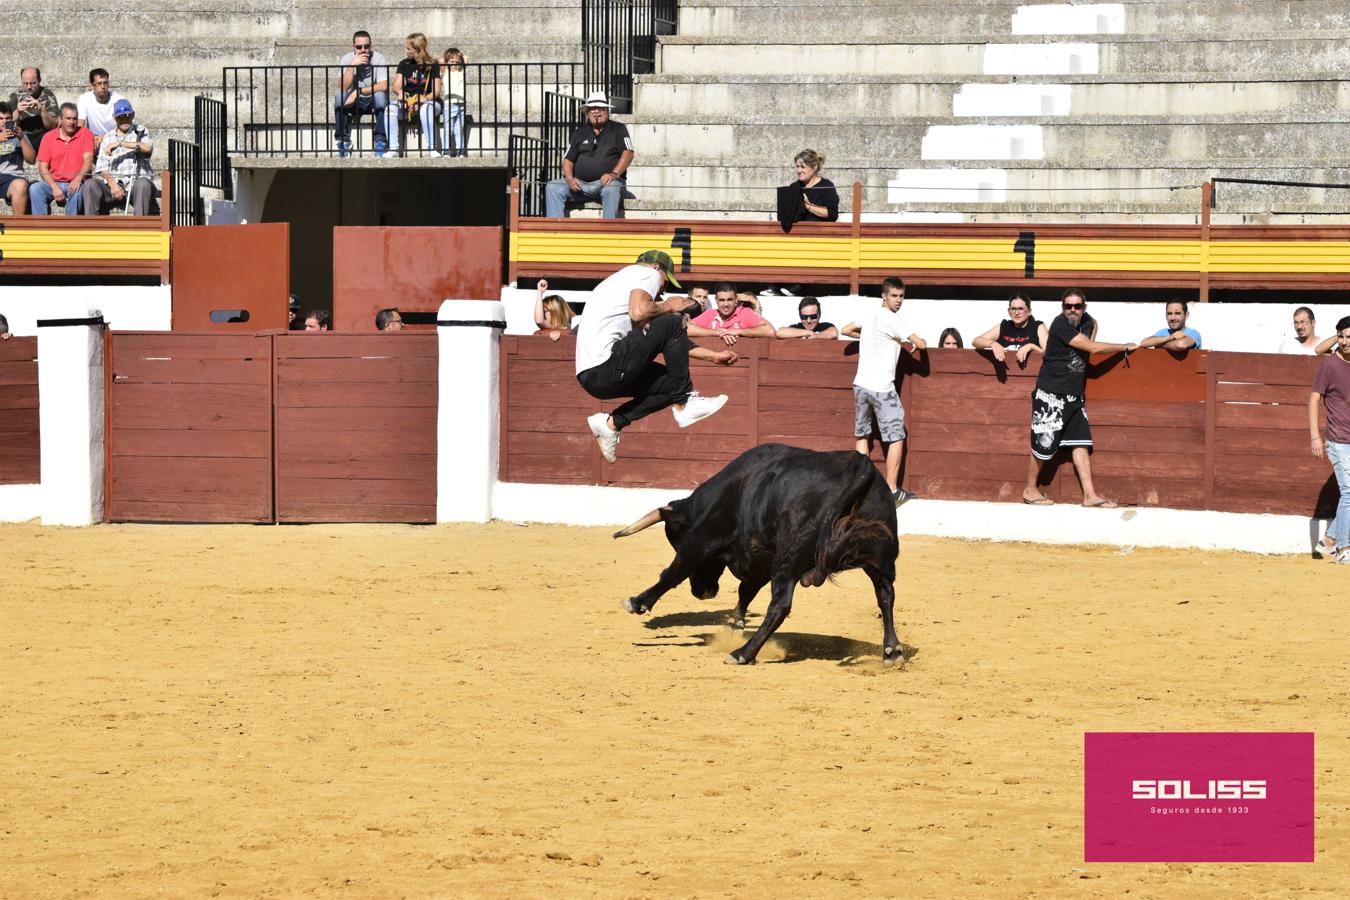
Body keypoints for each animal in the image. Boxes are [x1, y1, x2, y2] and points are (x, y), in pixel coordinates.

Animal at [618, 445, 901, 666]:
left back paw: (743, 654)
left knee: (780, 605)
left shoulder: (699, 541)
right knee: (885, 595)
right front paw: (735, 624)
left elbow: (673, 573)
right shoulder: (760, 561)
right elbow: (746, 591)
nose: (704, 592)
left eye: (674, 540)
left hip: (789, 558)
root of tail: (860, 468)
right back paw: (892, 651)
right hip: (879, 559)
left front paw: (637, 602)